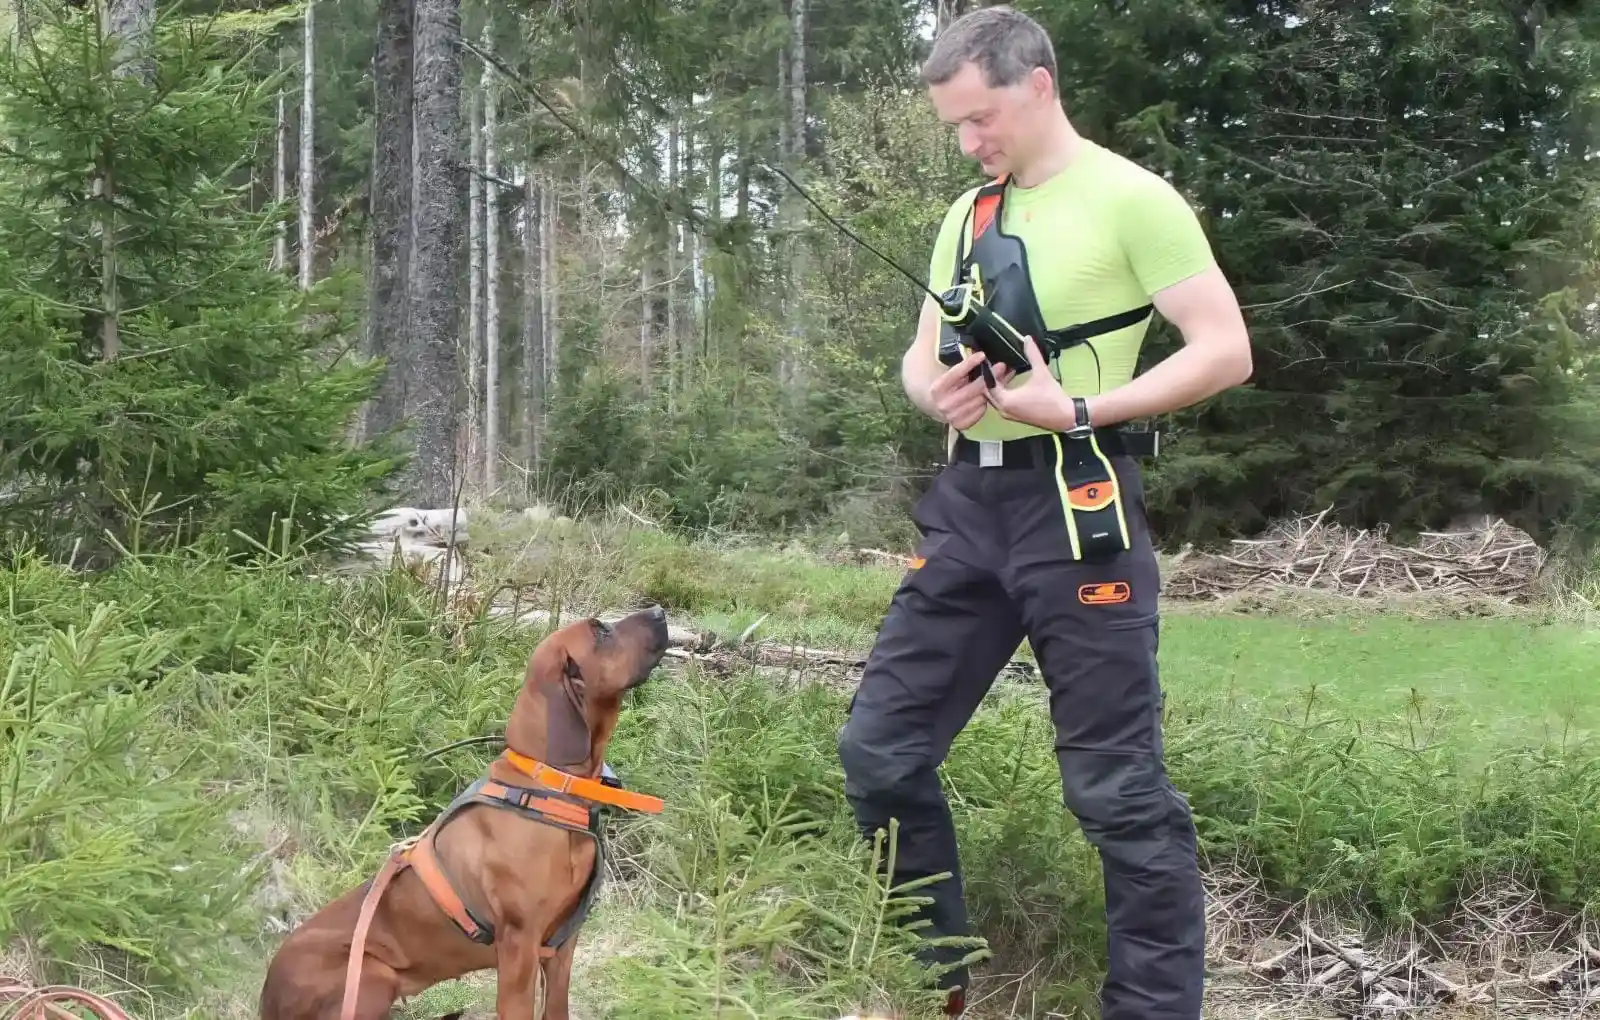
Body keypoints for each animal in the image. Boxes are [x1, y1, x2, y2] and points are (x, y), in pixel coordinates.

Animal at [259, 607, 672, 1020]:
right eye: (600, 631)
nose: (659, 611)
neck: (548, 784)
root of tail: (267, 998)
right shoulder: (519, 947)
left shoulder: (563, 944)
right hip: (372, 976)